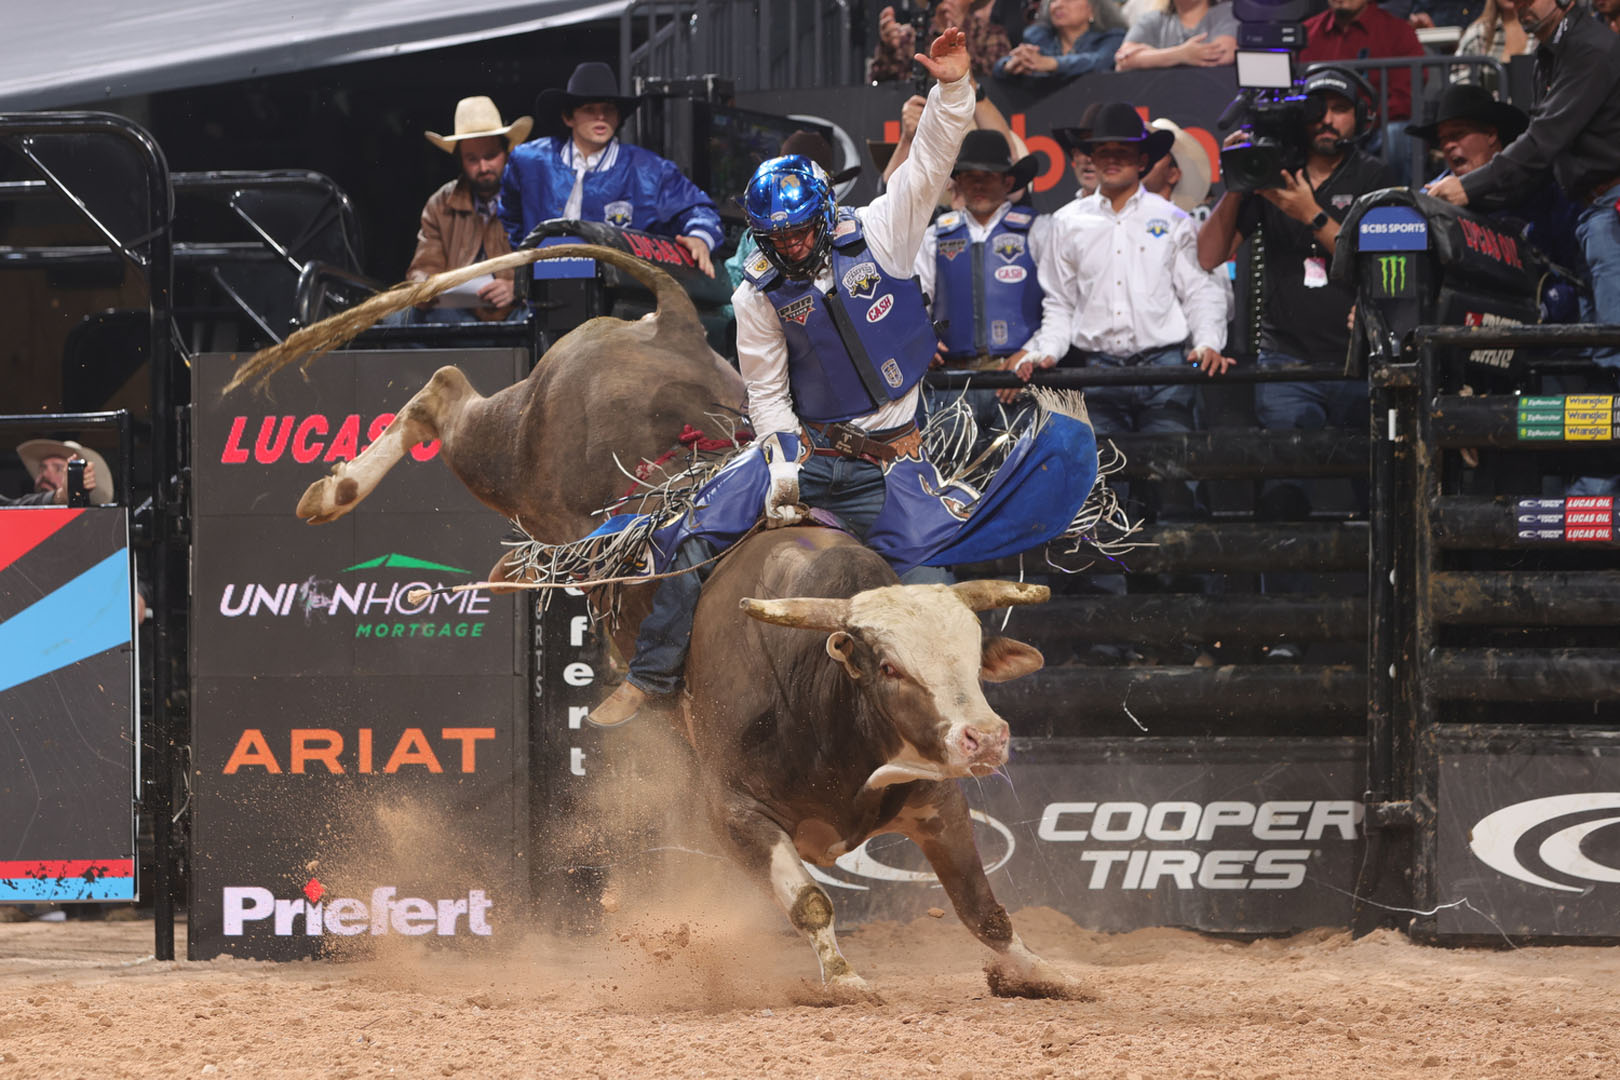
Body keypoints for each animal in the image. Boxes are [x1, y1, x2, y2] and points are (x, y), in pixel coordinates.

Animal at [687, 525, 1080, 998]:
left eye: (976, 663)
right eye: (890, 668)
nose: (985, 738)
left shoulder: (938, 804)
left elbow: (981, 906)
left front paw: (1042, 972)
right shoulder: (737, 813)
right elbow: (809, 902)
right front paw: (843, 977)